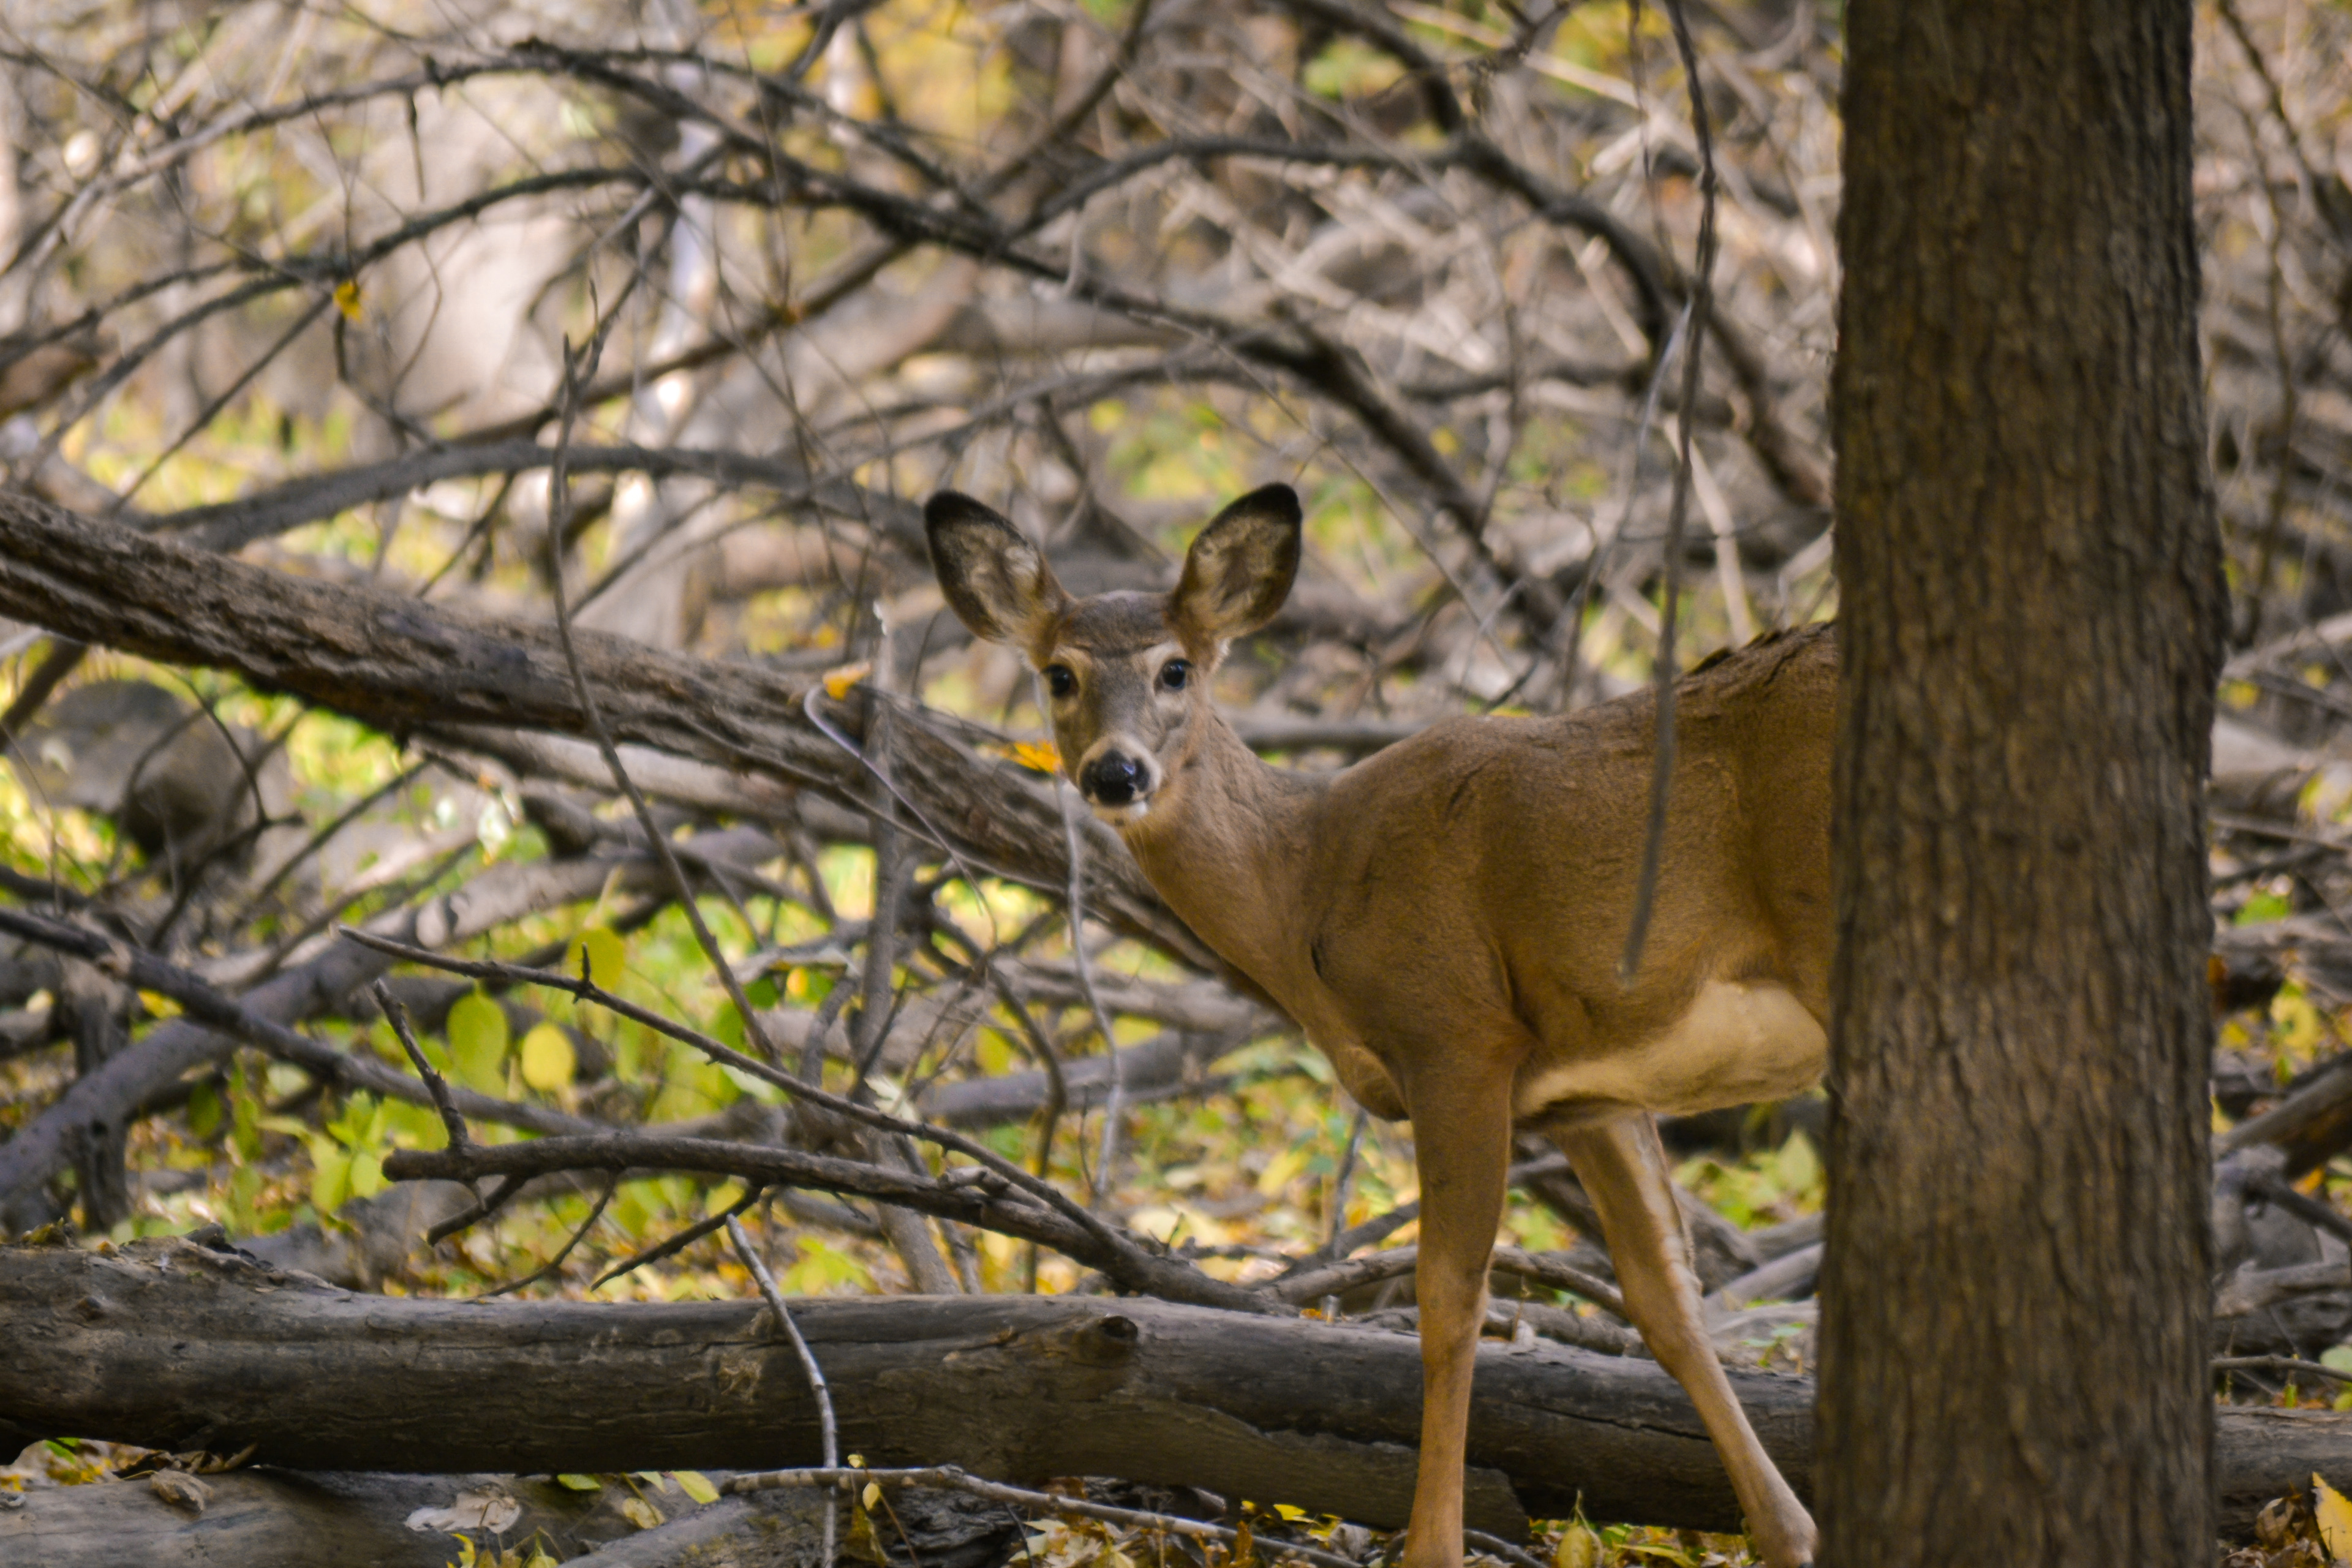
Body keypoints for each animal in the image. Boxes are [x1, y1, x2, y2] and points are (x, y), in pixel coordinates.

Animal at [926, 482, 1832, 1568]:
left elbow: (1447, 1301)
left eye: (1175, 667)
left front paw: (1432, 1544)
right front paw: (1791, 1531)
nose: (1117, 774)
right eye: (1058, 674)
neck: (1308, 879)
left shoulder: (1457, 1035)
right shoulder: (1592, 1093)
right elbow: (1666, 1301)